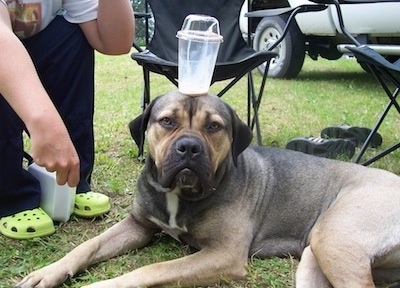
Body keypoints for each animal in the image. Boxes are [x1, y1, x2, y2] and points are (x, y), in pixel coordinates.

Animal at [17, 90, 400, 288]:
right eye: (166, 121)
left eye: (214, 126)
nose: (188, 147)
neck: (181, 195)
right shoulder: (138, 225)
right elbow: (87, 246)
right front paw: (47, 273)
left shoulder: (223, 255)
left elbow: (152, 269)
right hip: (314, 259)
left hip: (333, 238)